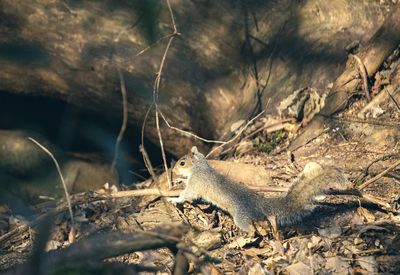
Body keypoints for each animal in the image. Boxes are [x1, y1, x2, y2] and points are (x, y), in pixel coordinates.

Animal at [167, 147, 348, 233]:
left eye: (182, 163)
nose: (173, 171)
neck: (199, 168)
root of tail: (260, 203)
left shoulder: (196, 184)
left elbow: (187, 194)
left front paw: (173, 199)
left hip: (242, 217)